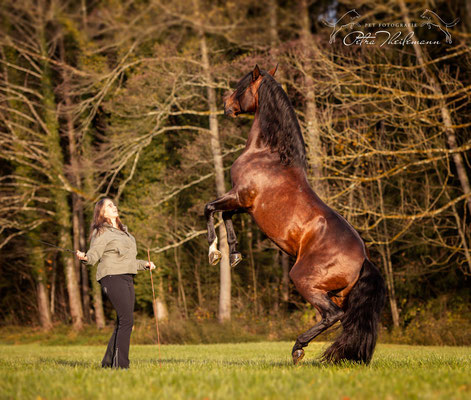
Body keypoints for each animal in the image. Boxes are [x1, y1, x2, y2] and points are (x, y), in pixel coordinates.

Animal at [206, 65, 388, 366]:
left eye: (242, 85)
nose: (225, 104)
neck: (266, 154)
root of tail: (363, 259)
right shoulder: (243, 204)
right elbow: (226, 218)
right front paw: (233, 254)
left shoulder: (239, 196)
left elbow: (209, 209)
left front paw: (214, 253)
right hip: (337, 294)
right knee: (342, 320)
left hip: (303, 280)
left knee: (332, 316)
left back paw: (298, 348)